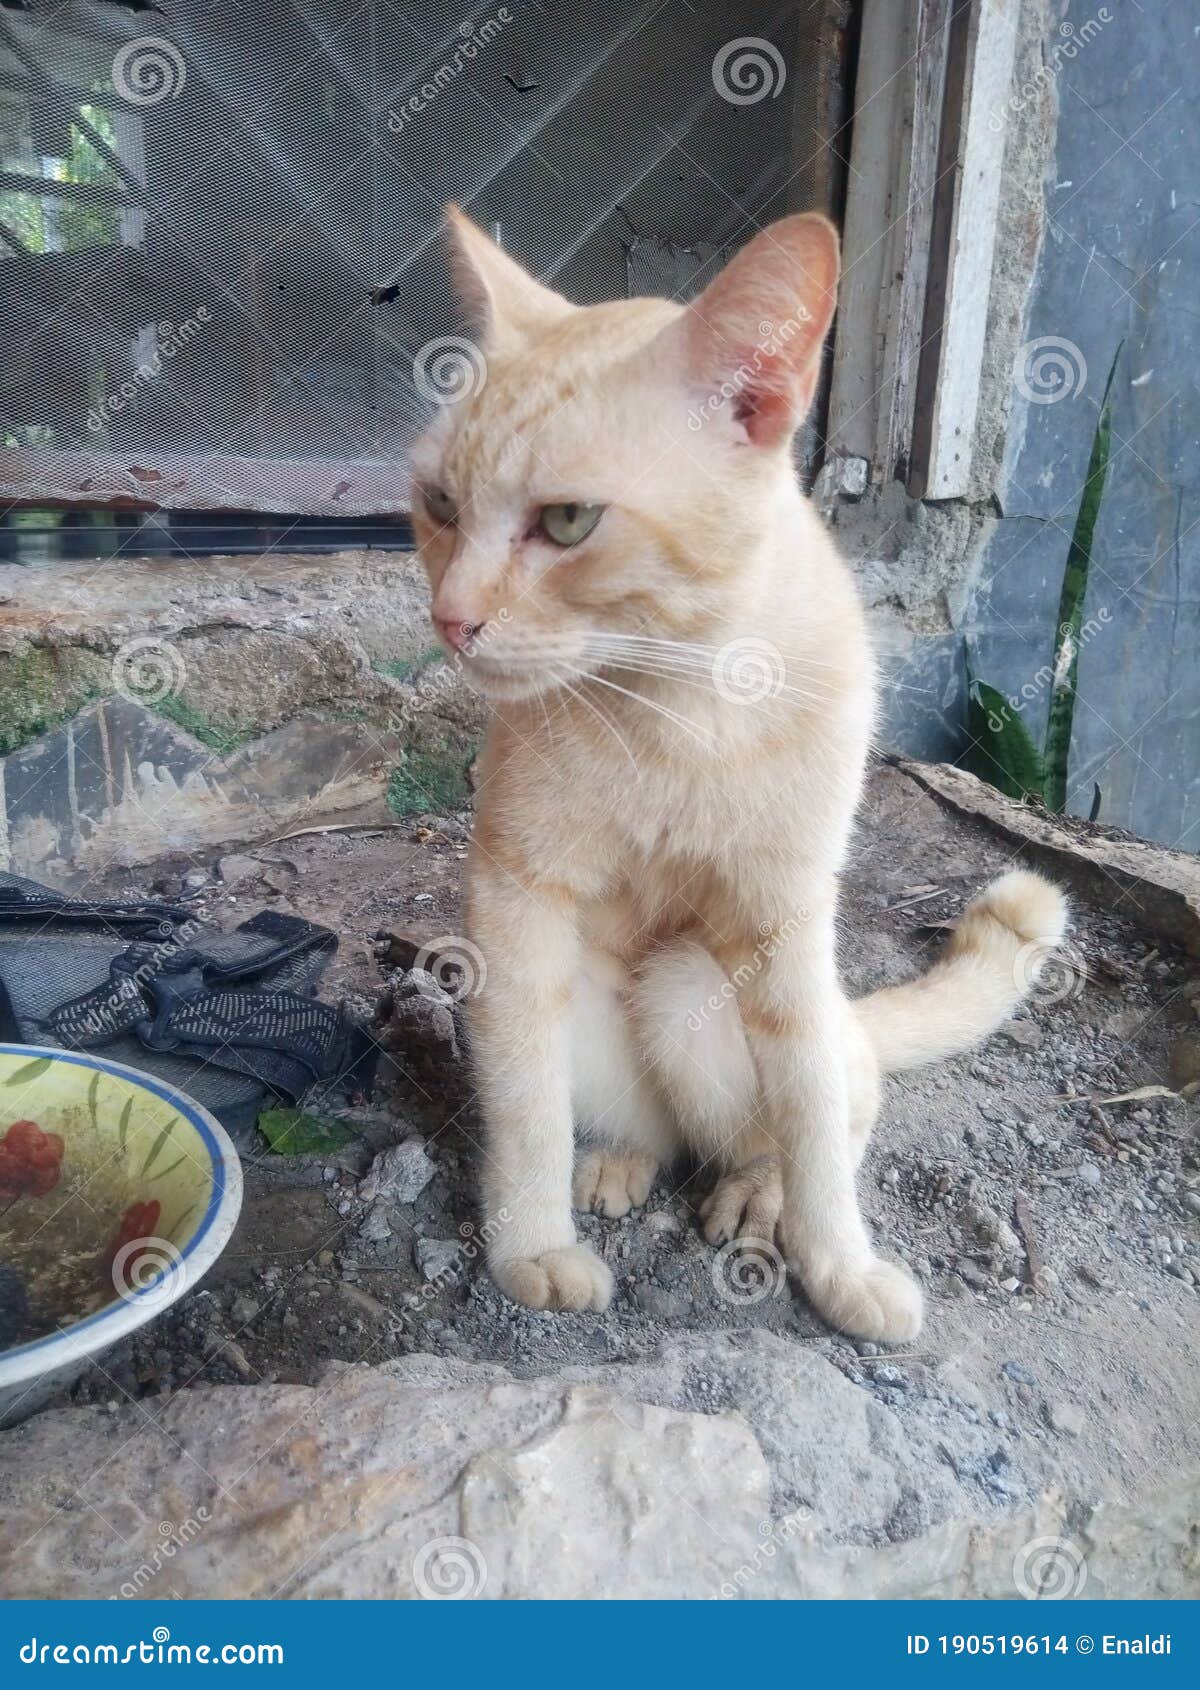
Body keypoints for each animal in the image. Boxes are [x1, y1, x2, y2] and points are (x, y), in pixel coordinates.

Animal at [409, 204, 1068, 1338]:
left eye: (568, 522)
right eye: (442, 504)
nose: (452, 619)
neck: (683, 702)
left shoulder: (788, 918)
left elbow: (809, 1114)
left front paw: (839, 1266)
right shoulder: (514, 897)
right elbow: (526, 1102)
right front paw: (531, 1247)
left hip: (699, 983)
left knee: (824, 1107)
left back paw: (759, 1199)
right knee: (653, 1128)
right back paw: (618, 1164)